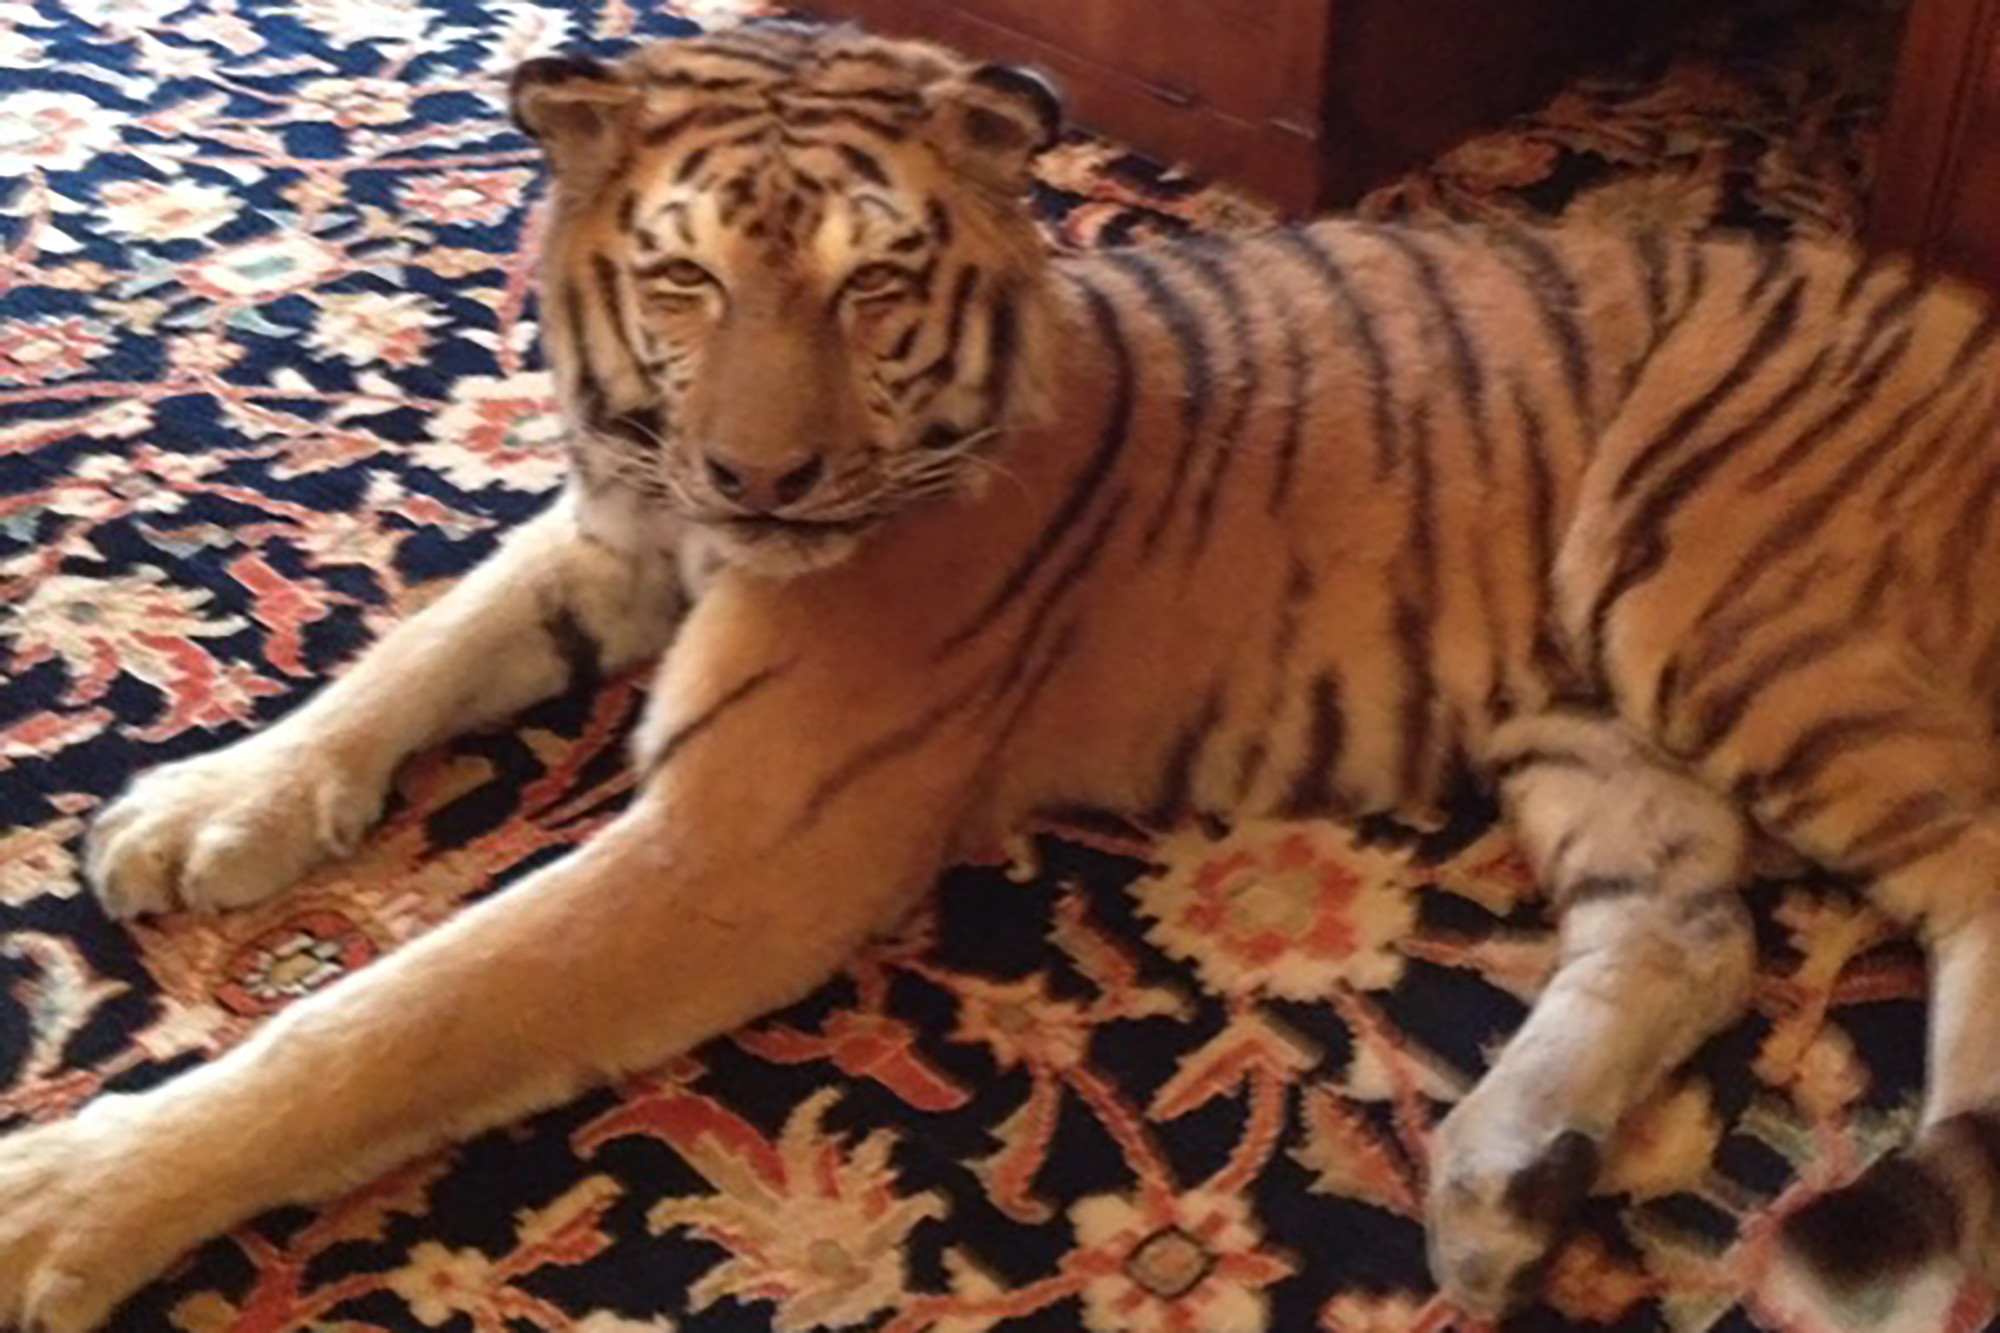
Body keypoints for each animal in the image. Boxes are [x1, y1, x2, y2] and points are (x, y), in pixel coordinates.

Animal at [2, 21, 1997, 1332]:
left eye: (873, 290)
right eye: (683, 284)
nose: (762, 479)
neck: (701, 531)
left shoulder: (740, 841)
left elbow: (388, 1020)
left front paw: (65, 1201)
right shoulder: (611, 533)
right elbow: (409, 648)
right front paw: (202, 806)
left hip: (1717, 594)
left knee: (1971, 865)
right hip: (1593, 712)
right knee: (1693, 923)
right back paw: (1508, 1182)